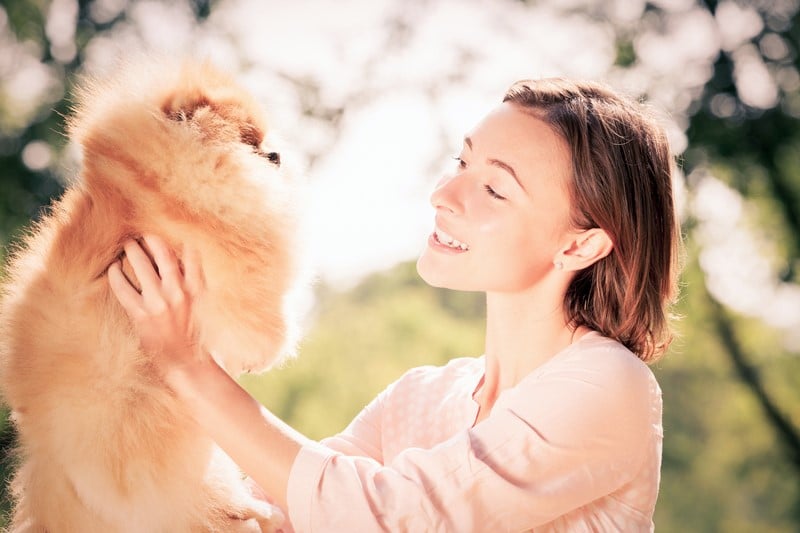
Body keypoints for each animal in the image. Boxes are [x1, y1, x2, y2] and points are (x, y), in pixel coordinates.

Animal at [0, 59, 304, 532]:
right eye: (249, 141)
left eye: (262, 141)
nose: (275, 156)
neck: (154, 177)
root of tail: (52, 466)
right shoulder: (222, 251)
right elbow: (255, 304)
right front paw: (264, 353)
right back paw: (253, 513)